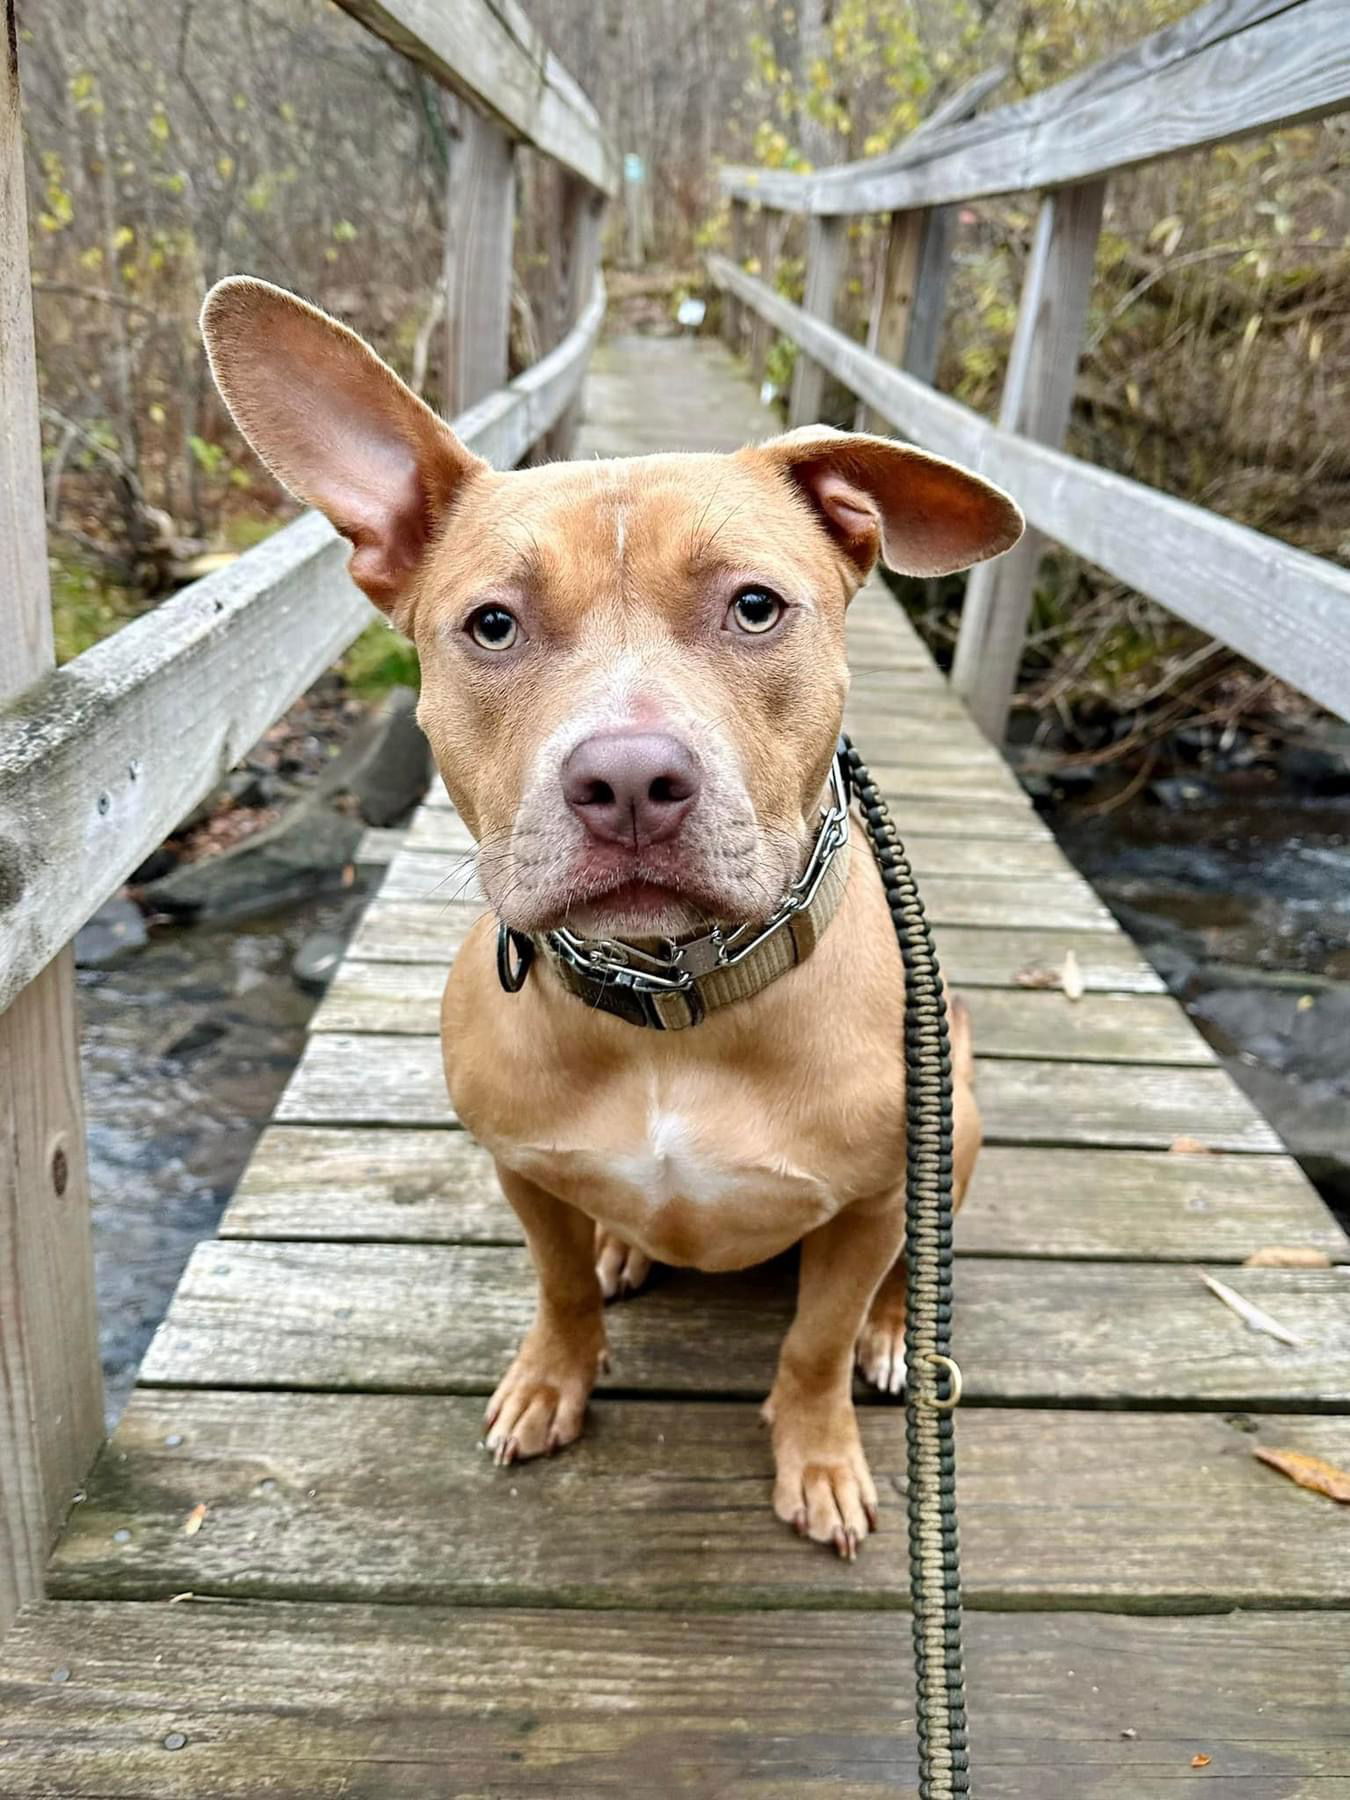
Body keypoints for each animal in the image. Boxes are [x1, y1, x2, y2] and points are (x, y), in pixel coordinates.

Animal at [203, 273, 1022, 1555]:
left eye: (755, 607)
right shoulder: (525, 1171)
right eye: (492, 624)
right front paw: (554, 1379)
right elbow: (555, 1288)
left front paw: (819, 1452)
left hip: (963, 1119)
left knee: (902, 1272)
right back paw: (628, 1248)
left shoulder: (871, 1199)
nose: (630, 779)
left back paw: (895, 1333)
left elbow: (815, 1340)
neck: (672, 990)